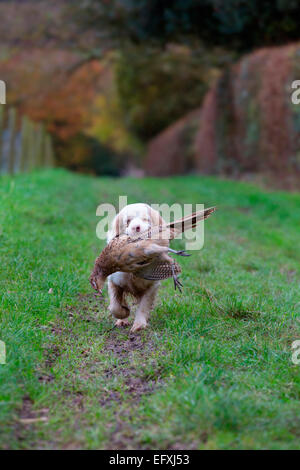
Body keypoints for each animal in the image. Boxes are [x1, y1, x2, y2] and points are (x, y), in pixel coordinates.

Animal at [107, 204, 165, 332]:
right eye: (128, 221)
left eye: (146, 219)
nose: (136, 227)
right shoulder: (114, 282)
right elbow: (115, 306)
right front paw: (123, 315)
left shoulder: (152, 286)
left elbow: (143, 305)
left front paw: (139, 325)